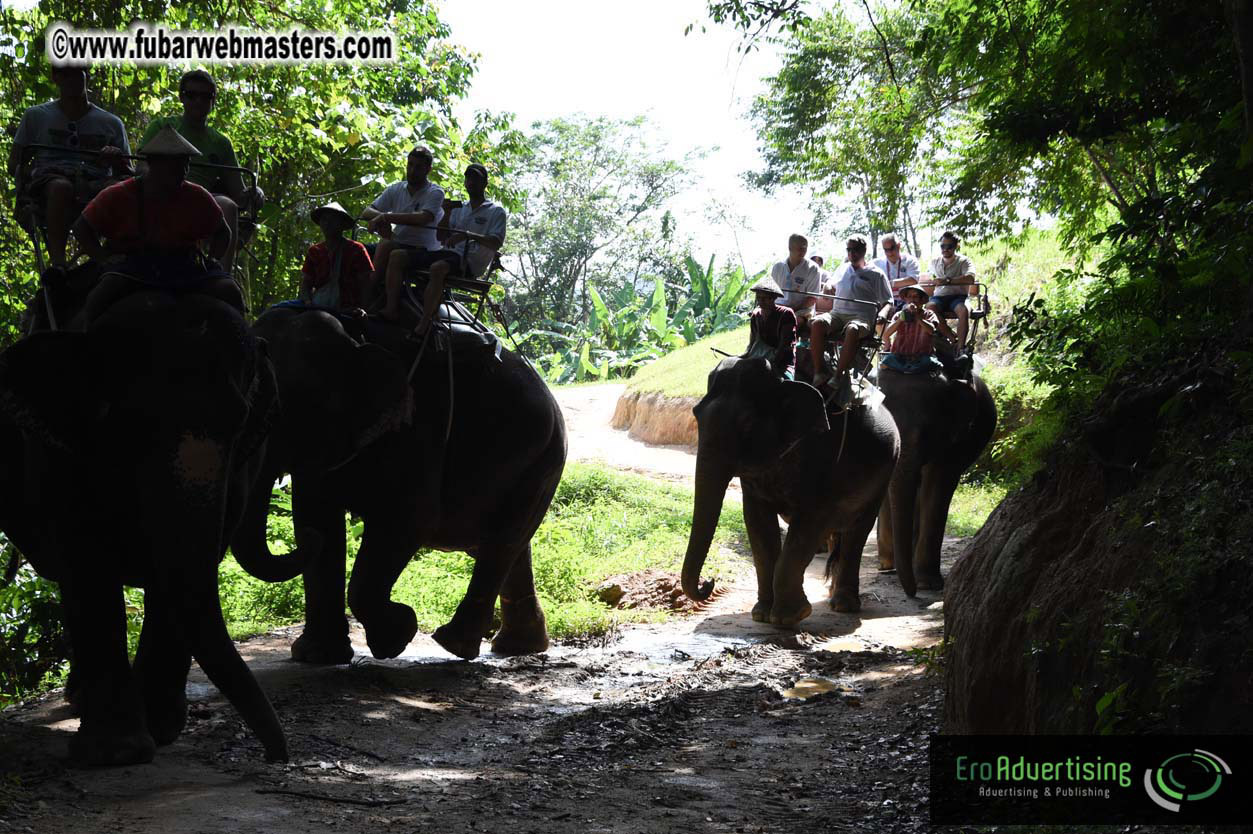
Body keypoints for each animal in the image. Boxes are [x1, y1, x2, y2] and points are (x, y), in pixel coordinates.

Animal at [0, 275, 285, 761]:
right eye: (127, 423)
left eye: (240, 420)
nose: (276, 755)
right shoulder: (59, 452)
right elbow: (86, 556)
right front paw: (117, 752)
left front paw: (161, 729)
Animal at [230, 305, 568, 661]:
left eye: (287, 409)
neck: (352, 337)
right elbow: (317, 516)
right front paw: (316, 656)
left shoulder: (419, 427)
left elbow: (408, 519)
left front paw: (397, 635)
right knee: (503, 544)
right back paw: (517, 646)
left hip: (542, 457)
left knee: (500, 542)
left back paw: (454, 643)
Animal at [681, 353, 897, 621]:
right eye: (696, 414)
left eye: (747, 422)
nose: (708, 583)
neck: (783, 383)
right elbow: (757, 523)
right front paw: (762, 613)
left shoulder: (825, 460)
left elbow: (807, 526)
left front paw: (790, 616)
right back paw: (832, 595)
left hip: (885, 474)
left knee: (857, 531)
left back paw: (843, 605)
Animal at [872, 363, 997, 591]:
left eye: (926, 432)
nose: (911, 592)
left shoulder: (958, 438)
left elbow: (938, 482)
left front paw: (927, 583)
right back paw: (886, 565)